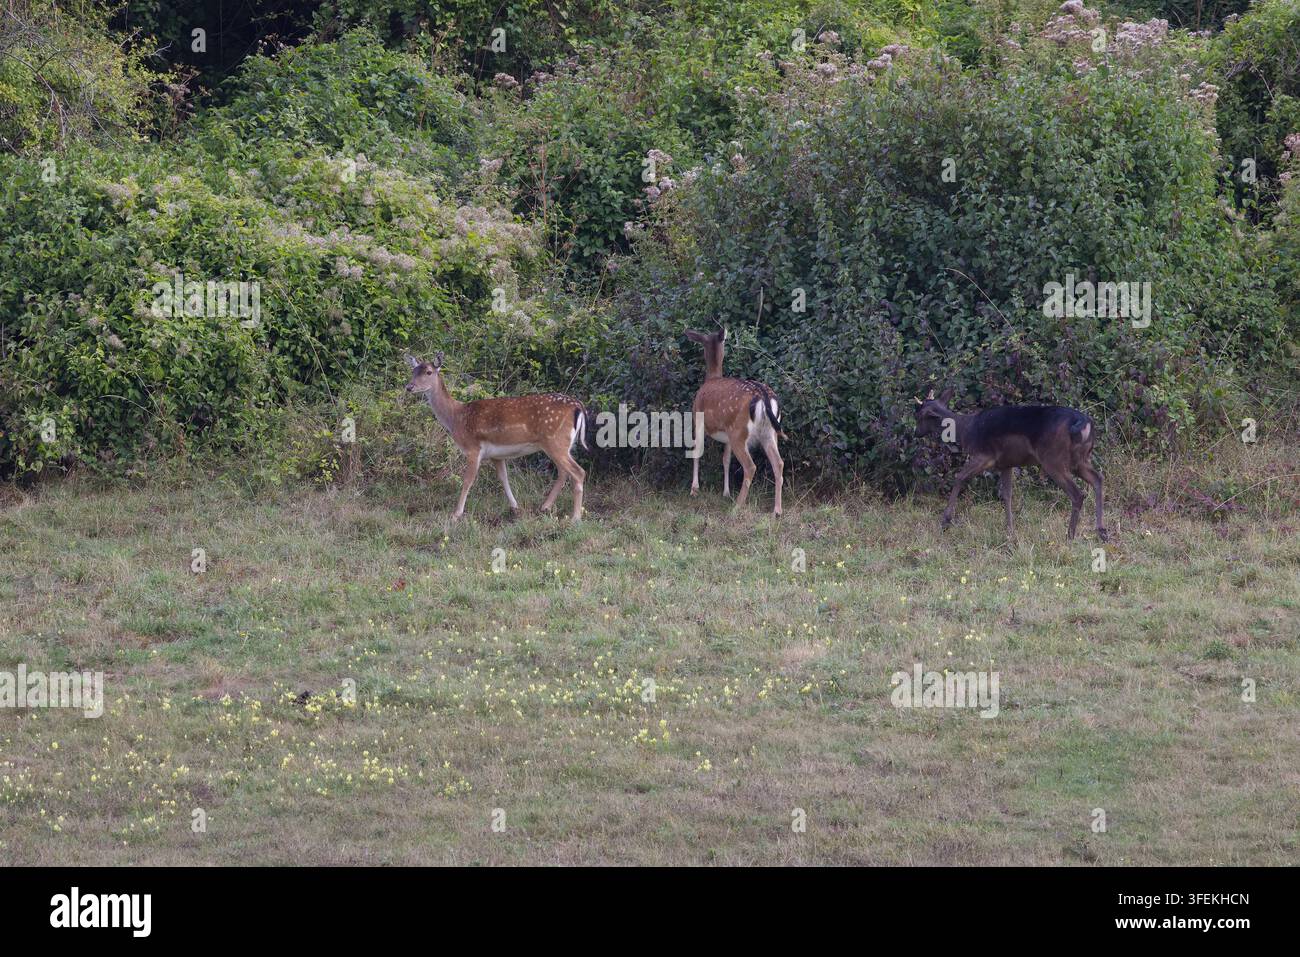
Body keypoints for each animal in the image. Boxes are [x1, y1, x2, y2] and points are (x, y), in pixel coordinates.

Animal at [404, 353, 588, 522]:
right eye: (413, 371)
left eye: (428, 372)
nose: (409, 387)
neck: (456, 418)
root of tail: (578, 407)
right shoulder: (496, 455)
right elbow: (503, 478)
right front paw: (515, 508)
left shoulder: (473, 448)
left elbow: (467, 481)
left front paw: (456, 514)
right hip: (563, 445)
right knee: (564, 472)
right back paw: (545, 507)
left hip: (555, 441)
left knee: (578, 472)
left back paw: (575, 518)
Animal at [684, 328, 784, 516]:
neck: (712, 378)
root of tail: (764, 397)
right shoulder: (727, 435)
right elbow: (726, 460)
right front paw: (726, 493)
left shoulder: (697, 420)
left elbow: (697, 452)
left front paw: (694, 489)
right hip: (769, 432)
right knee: (779, 463)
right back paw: (777, 510)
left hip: (739, 431)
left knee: (750, 466)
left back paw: (737, 506)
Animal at [914, 388, 1106, 542]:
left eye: (919, 416)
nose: (916, 433)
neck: (965, 431)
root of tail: (1085, 423)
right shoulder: (1006, 463)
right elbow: (1007, 494)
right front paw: (1010, 530)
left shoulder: (985, 455)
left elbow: (959, 477)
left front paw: (945, 521)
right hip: (1080, 459)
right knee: (1098, 478)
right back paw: (1101, 531)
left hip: (1053, 458)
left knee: (1078, 494)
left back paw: (1070, 535)